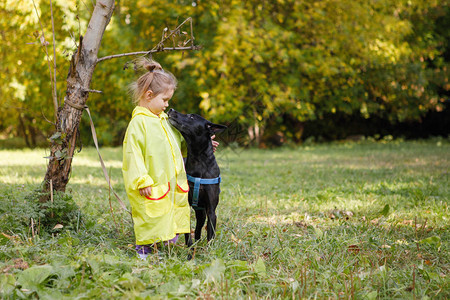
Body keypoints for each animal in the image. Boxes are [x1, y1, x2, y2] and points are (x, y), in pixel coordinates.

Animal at [168, 108, 227, 246]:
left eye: (191, 117)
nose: (171, 109)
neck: (198, 160)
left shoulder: (211, 210)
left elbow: (210, 233)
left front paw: (209, 249)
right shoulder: (186, 206)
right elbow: (187, 230)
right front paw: (189, 247)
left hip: (202, 213)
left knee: (199, 228)